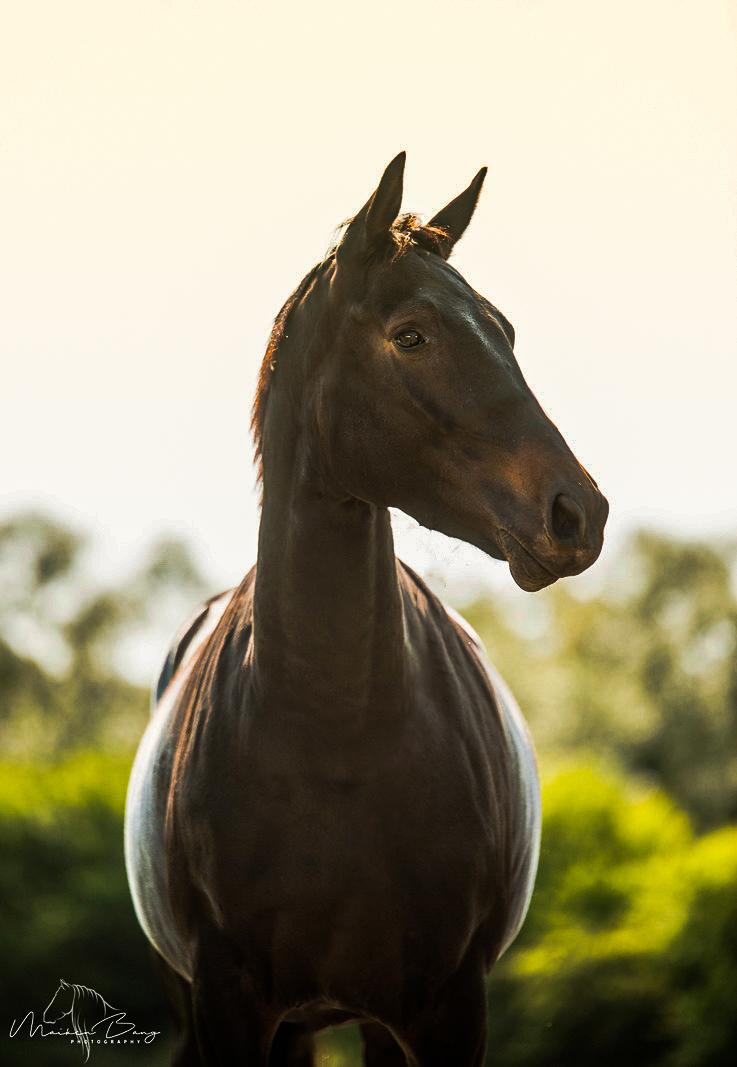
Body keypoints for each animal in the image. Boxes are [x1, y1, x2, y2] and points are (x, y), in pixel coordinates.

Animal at [126, 152, 610, 1067]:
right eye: (411, 334)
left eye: (505, 331)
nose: (577, 514)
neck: (333, 736)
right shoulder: (225, 1006)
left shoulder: (446, 1008)